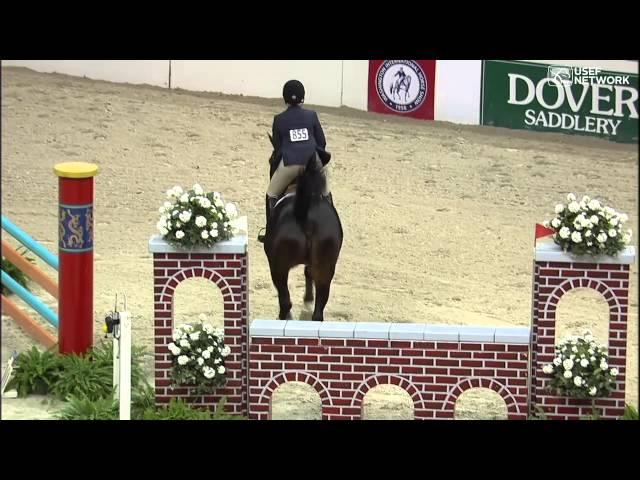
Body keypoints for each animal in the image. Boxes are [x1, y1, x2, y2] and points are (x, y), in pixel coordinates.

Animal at [262, 136, 342, 322]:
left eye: (271, 159)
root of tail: (305, 214)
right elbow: (308, 273)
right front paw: (308, 299)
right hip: (326, 267)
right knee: (319, 310)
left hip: (278, 268)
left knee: (285, 301)